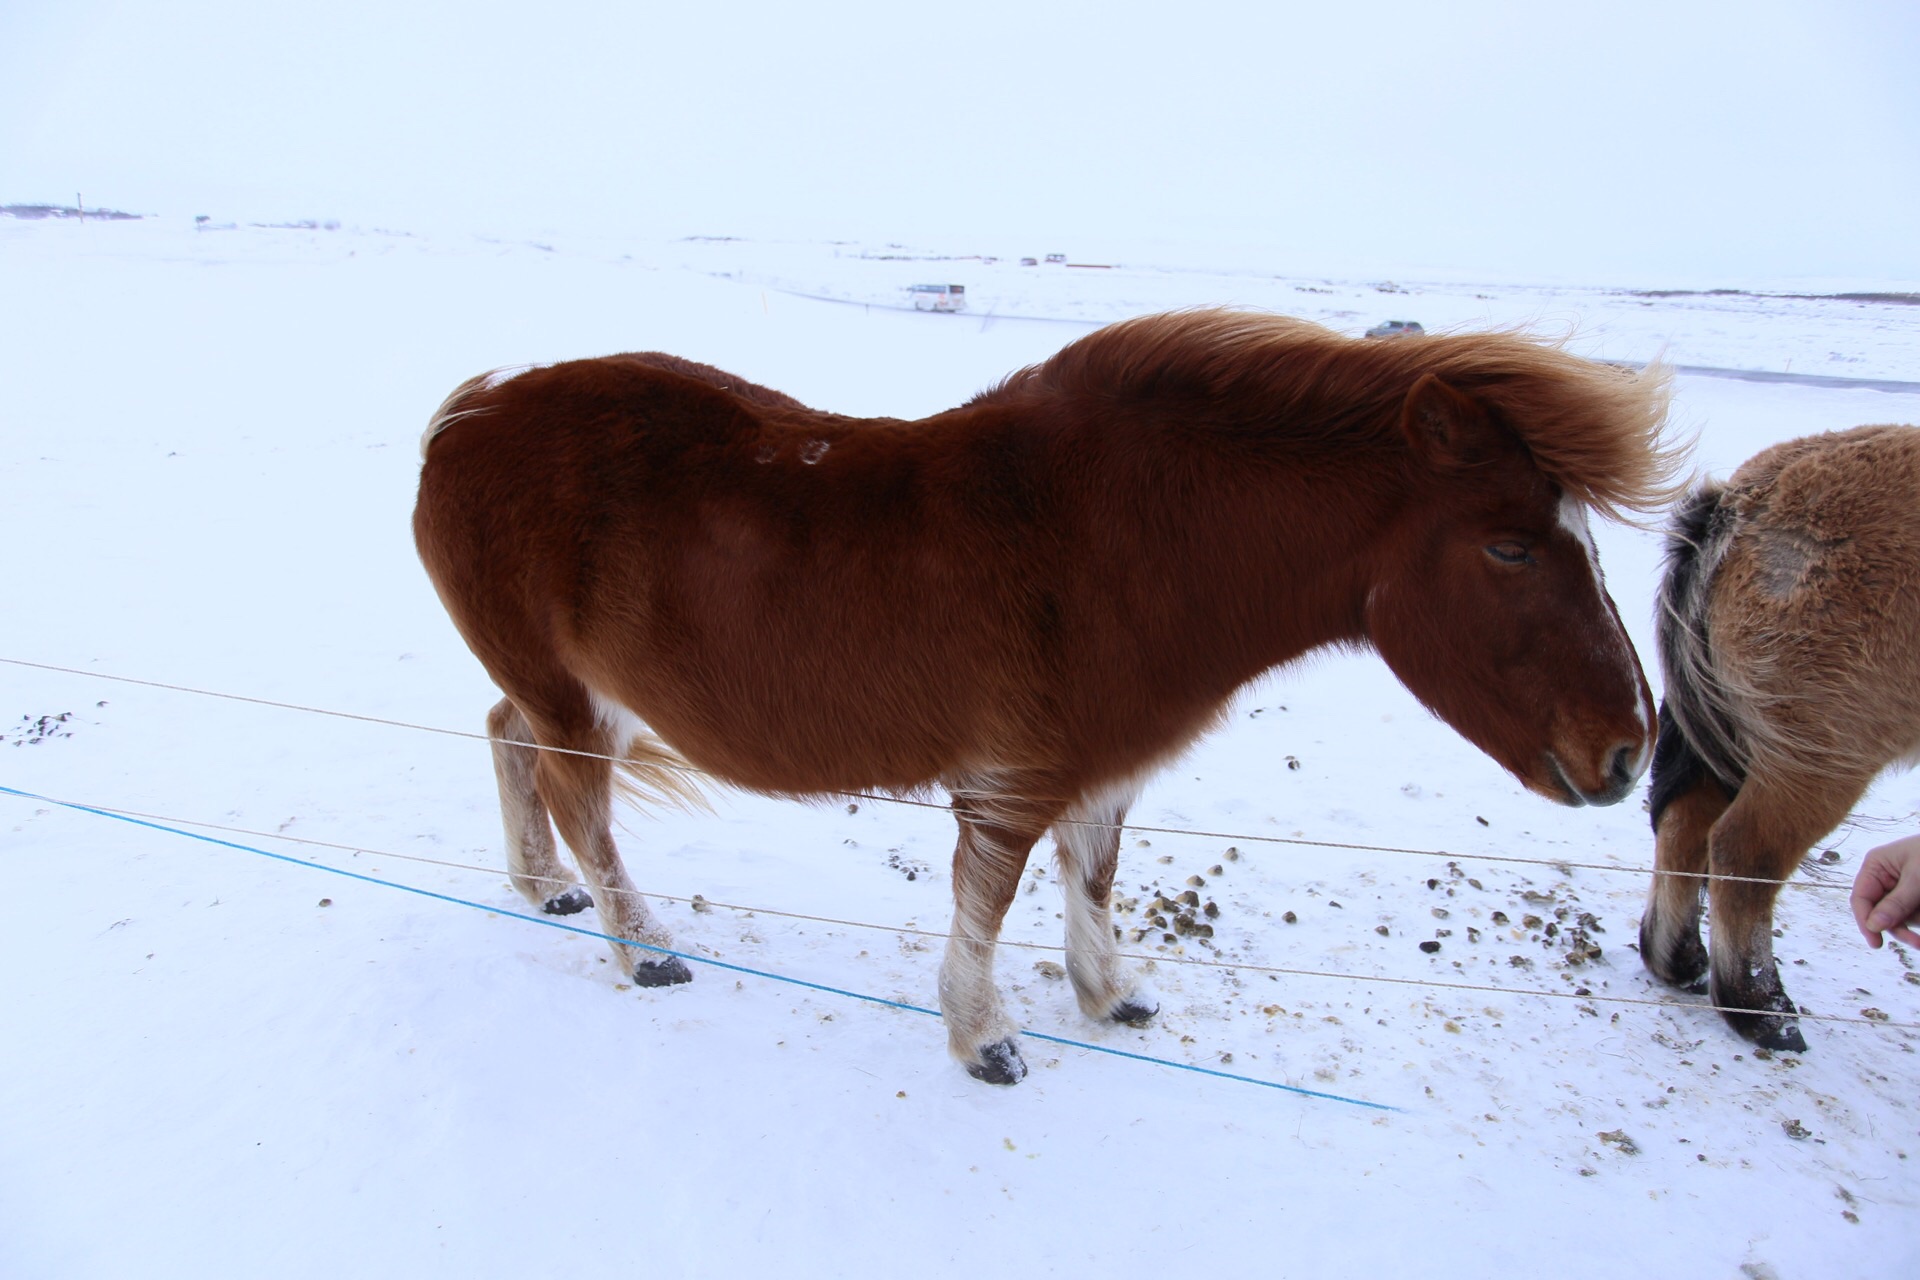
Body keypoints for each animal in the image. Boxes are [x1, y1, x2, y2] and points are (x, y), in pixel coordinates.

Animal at [412, 310, 1674, 1082]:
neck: (1128, 537)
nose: (1629, 749)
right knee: (579, 798)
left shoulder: (1103, 770)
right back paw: (644, 946)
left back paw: (545, 888)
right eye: (1509, 547)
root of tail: (463, 414)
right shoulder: (1015, 778)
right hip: (572, 694)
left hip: (572, 688)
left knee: (511, 742)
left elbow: (1093, 877)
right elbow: (989, 899)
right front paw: (984, 1039)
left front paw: (1109, 995)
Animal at [1643, 426, 1920, 1059]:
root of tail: (1743, 504)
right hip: (1820, 757)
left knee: (1684, 821)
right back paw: (1760, 1008)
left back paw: (1680, 959)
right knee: (1742, 852)